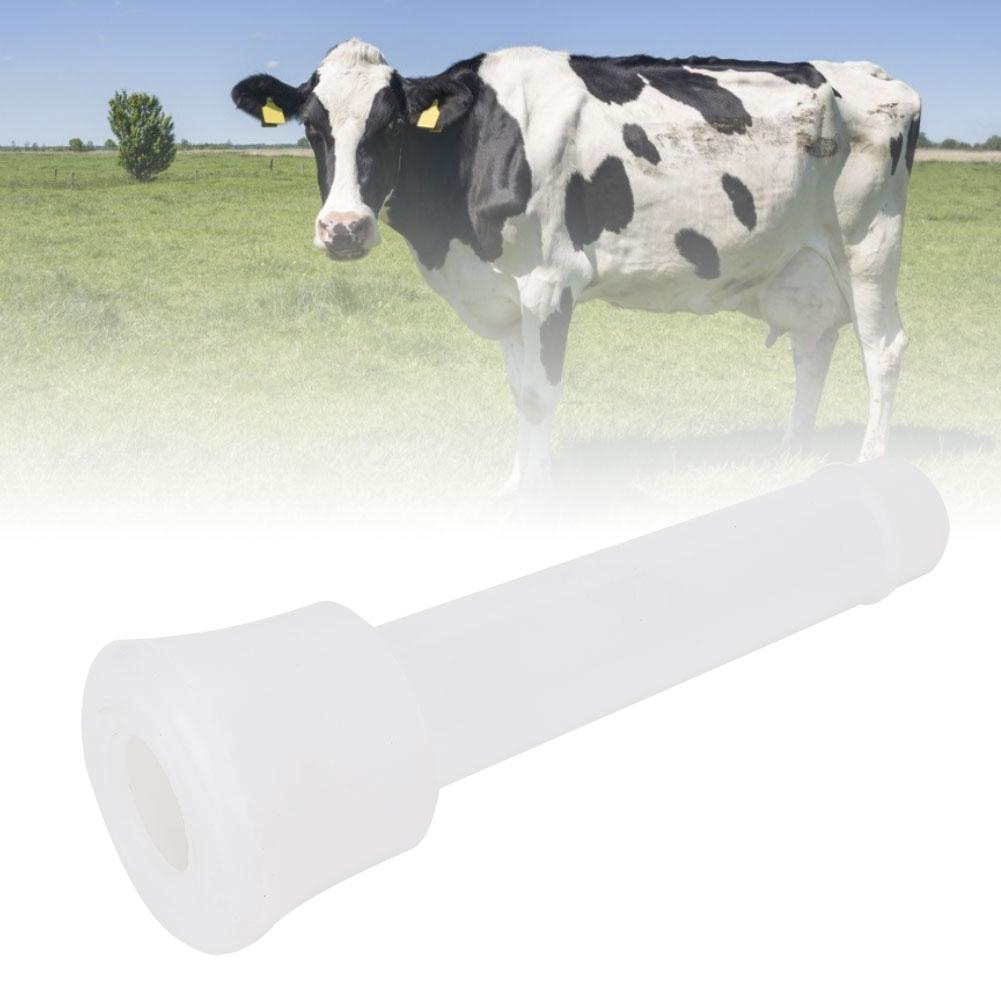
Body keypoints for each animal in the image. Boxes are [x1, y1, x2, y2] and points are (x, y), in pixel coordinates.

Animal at [232, 39, 921, 493]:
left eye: (392, 126)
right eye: (312, 129)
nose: (343, 229)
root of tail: (876, 73)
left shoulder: (547, 281)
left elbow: (541, 393)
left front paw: (535, 499)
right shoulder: (504, 294)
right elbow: (519, 389)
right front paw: (518, 482)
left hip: (868, 245)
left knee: (883, 348)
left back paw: (870, 462)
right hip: (805, 267)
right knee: (813, 347)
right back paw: (790, 452)